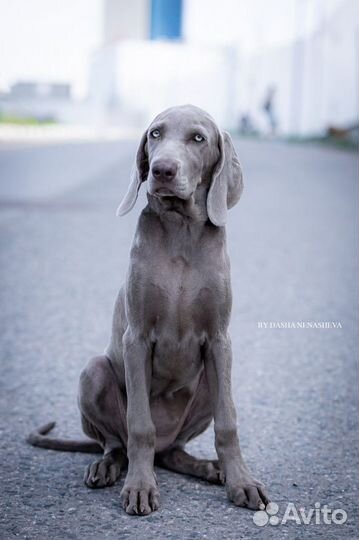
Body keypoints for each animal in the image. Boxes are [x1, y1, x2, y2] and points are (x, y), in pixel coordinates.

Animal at [27, 104, 270, 516]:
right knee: (118, 443)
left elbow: (228, 422)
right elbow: (140, 425)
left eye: (198, 138)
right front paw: (140, 487)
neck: (181, 230)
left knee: (173, 452)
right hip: (94, 372)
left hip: (206, 386)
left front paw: (242, 481)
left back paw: (209, 468)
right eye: (156, 133)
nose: (162, 170)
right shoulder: (136, 339)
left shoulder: (220, 340)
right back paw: (107, 467)